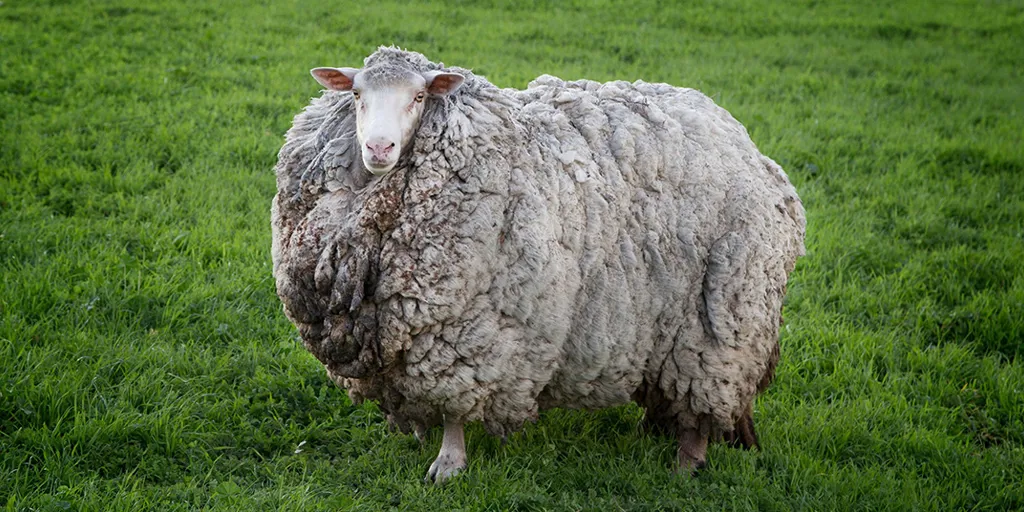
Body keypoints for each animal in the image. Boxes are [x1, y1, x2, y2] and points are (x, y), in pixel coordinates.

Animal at [271, 47, 806, 483]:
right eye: (356, 94)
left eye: (420, 97)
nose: (379, 148)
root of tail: (739, 136)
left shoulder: (472, 332)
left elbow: (455, 408)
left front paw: (449, 463)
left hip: (719, 324)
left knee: (703, 400)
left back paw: (686, 464)